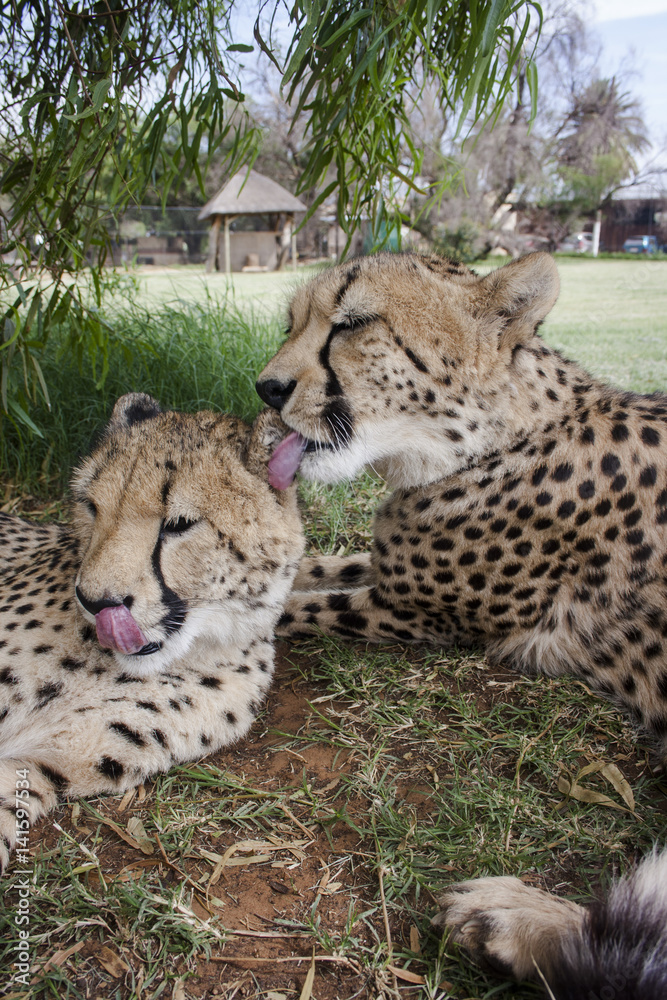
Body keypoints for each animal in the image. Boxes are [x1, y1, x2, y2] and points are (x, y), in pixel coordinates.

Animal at [255, 250, 667, 996]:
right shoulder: (390, 572)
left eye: (352, 323)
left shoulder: (418, 611)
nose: (265, 388)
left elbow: (287, 606)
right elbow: (310, 565)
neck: (496, 437)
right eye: (291, 321)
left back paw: (508, 917)